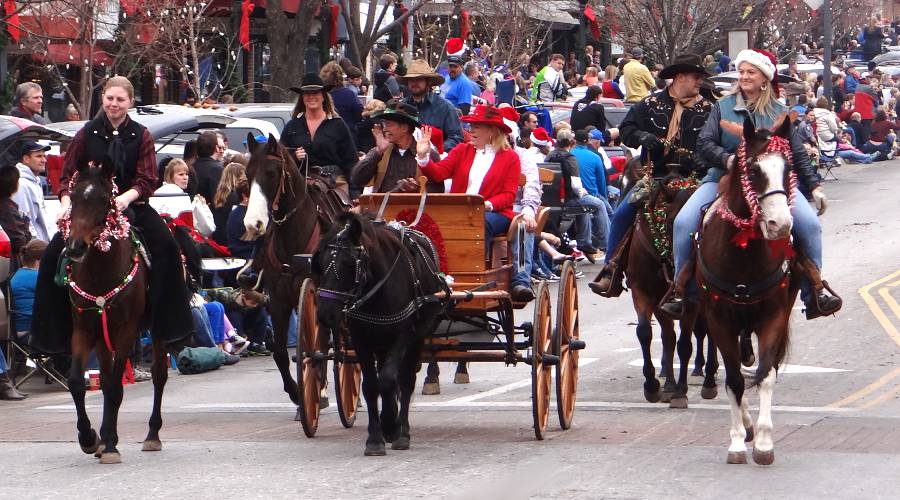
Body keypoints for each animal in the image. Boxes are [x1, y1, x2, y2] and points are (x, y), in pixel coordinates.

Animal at [60, 162, 163, 462]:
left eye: (105, 201)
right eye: (74, 197)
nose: (76, 247)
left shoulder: (126, 331)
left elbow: (117, 387)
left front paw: (111, 446)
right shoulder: (83, 330)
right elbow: (77, 382)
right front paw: (90, 438)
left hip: (157, 329)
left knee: (159, 374)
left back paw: (152, 435)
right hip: (101, 337)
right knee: (105, 380)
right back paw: (105, 438)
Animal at [244, 132, 346, 414]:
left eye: (271, 173)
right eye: (247, 174)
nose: (253, 224)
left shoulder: (316, 295)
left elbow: (319, 343)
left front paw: (319, 390)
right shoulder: (279, 301)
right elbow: (279, 351)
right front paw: (297, 395)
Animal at [312, 213, 446, 456]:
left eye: (349, 264)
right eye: (321, 262)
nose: (326, 314)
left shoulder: (403, 336)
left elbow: (388, 379)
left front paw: (392, 427)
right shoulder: (362, 340)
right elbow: (371, 386)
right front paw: (376, 437)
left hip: (416, 339)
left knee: (405, 381)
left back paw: (401, 432)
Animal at [624, 170, 716, 408]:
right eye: (667, 223)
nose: (680, 265)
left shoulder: (691, 302)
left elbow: (684, 344)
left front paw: (680, 392)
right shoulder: (645, 294)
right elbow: (649, 334)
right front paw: (654, 386)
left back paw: (709, 378)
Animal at [696, 118, 800, 464]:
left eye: (788, 169)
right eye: (753, 171)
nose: (780, 224)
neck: (743, 255)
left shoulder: (773, 317)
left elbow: (766, 374)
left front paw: (765, 444)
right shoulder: (719, 321)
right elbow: (734, 380)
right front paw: (738, 443)